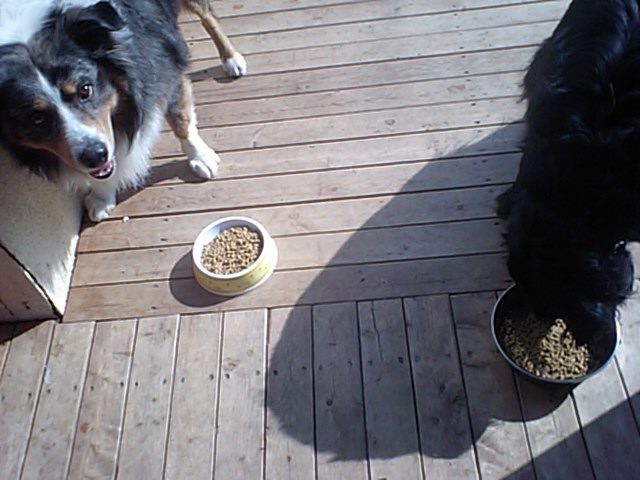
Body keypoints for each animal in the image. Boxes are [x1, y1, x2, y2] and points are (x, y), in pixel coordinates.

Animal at [0, 0, 246, 222]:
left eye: (85, 89)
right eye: (36, 117)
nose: (95, 155)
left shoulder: (165, 67)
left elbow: (181, 121)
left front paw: (201, 157)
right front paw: (102, 197)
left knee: (207, 15)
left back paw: (231, 59)